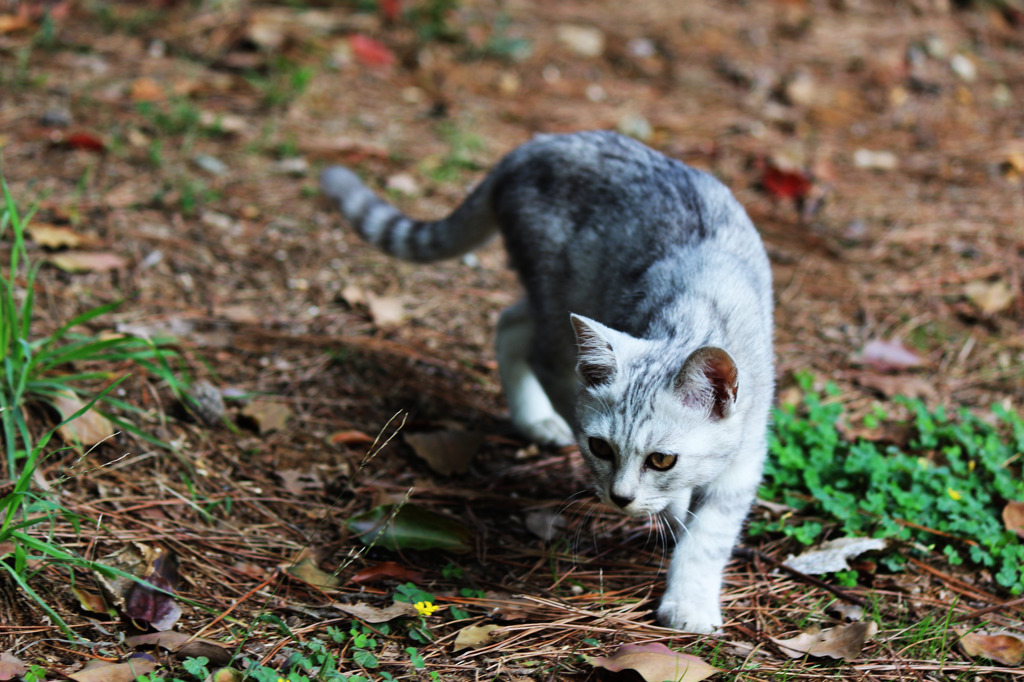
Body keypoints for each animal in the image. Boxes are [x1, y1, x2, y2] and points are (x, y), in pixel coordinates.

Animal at [323, 129, 770, 630]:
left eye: (661, 460)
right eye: (600, 448)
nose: (619, 498)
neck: (691, 316)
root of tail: (532, 147)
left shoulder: (747, 452)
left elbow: (708, 533)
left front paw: (689, 592)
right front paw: (678, 551)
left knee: (511, 323)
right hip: (557, 298)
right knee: (533, 348)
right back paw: (538, 418)